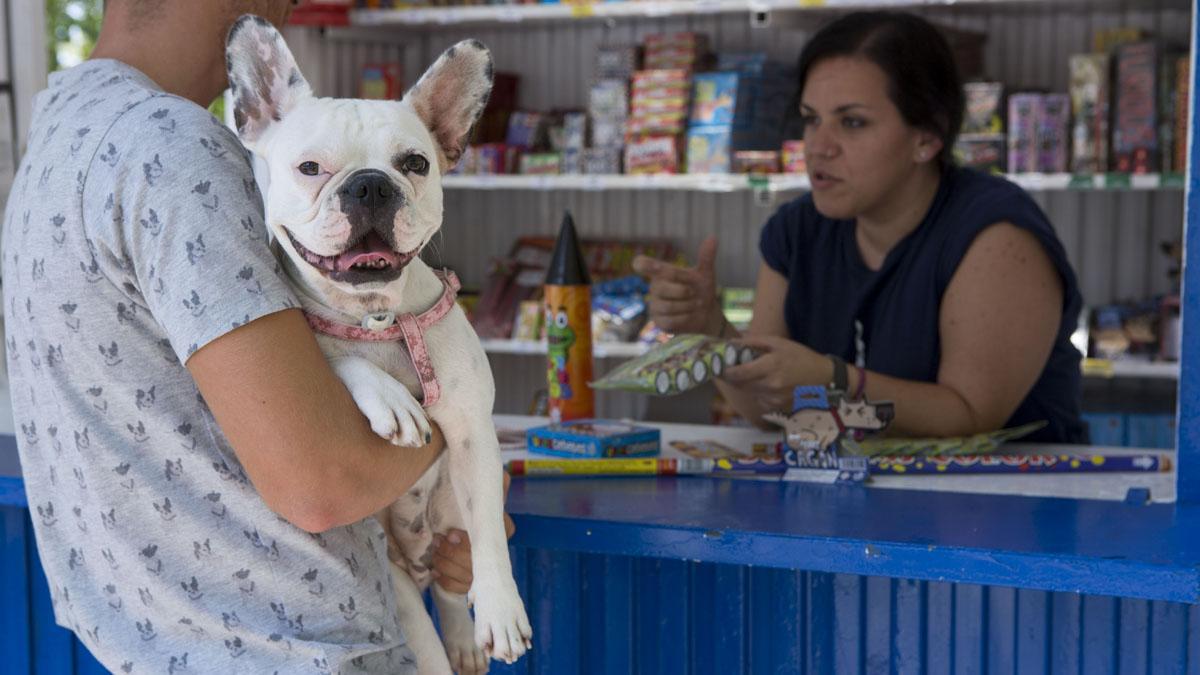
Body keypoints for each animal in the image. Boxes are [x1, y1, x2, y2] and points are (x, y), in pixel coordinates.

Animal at [226, 15, 532, 672]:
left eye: (414, 162)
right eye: (310, 168)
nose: (369, 186)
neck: (378, 318)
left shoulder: (473, 436)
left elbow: (491, 543)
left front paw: (500, 611)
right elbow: (340, 357)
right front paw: (390, 399)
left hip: (449, 511)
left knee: (451, 585)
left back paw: (465, 635)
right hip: (394, 578)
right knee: (423, 634)